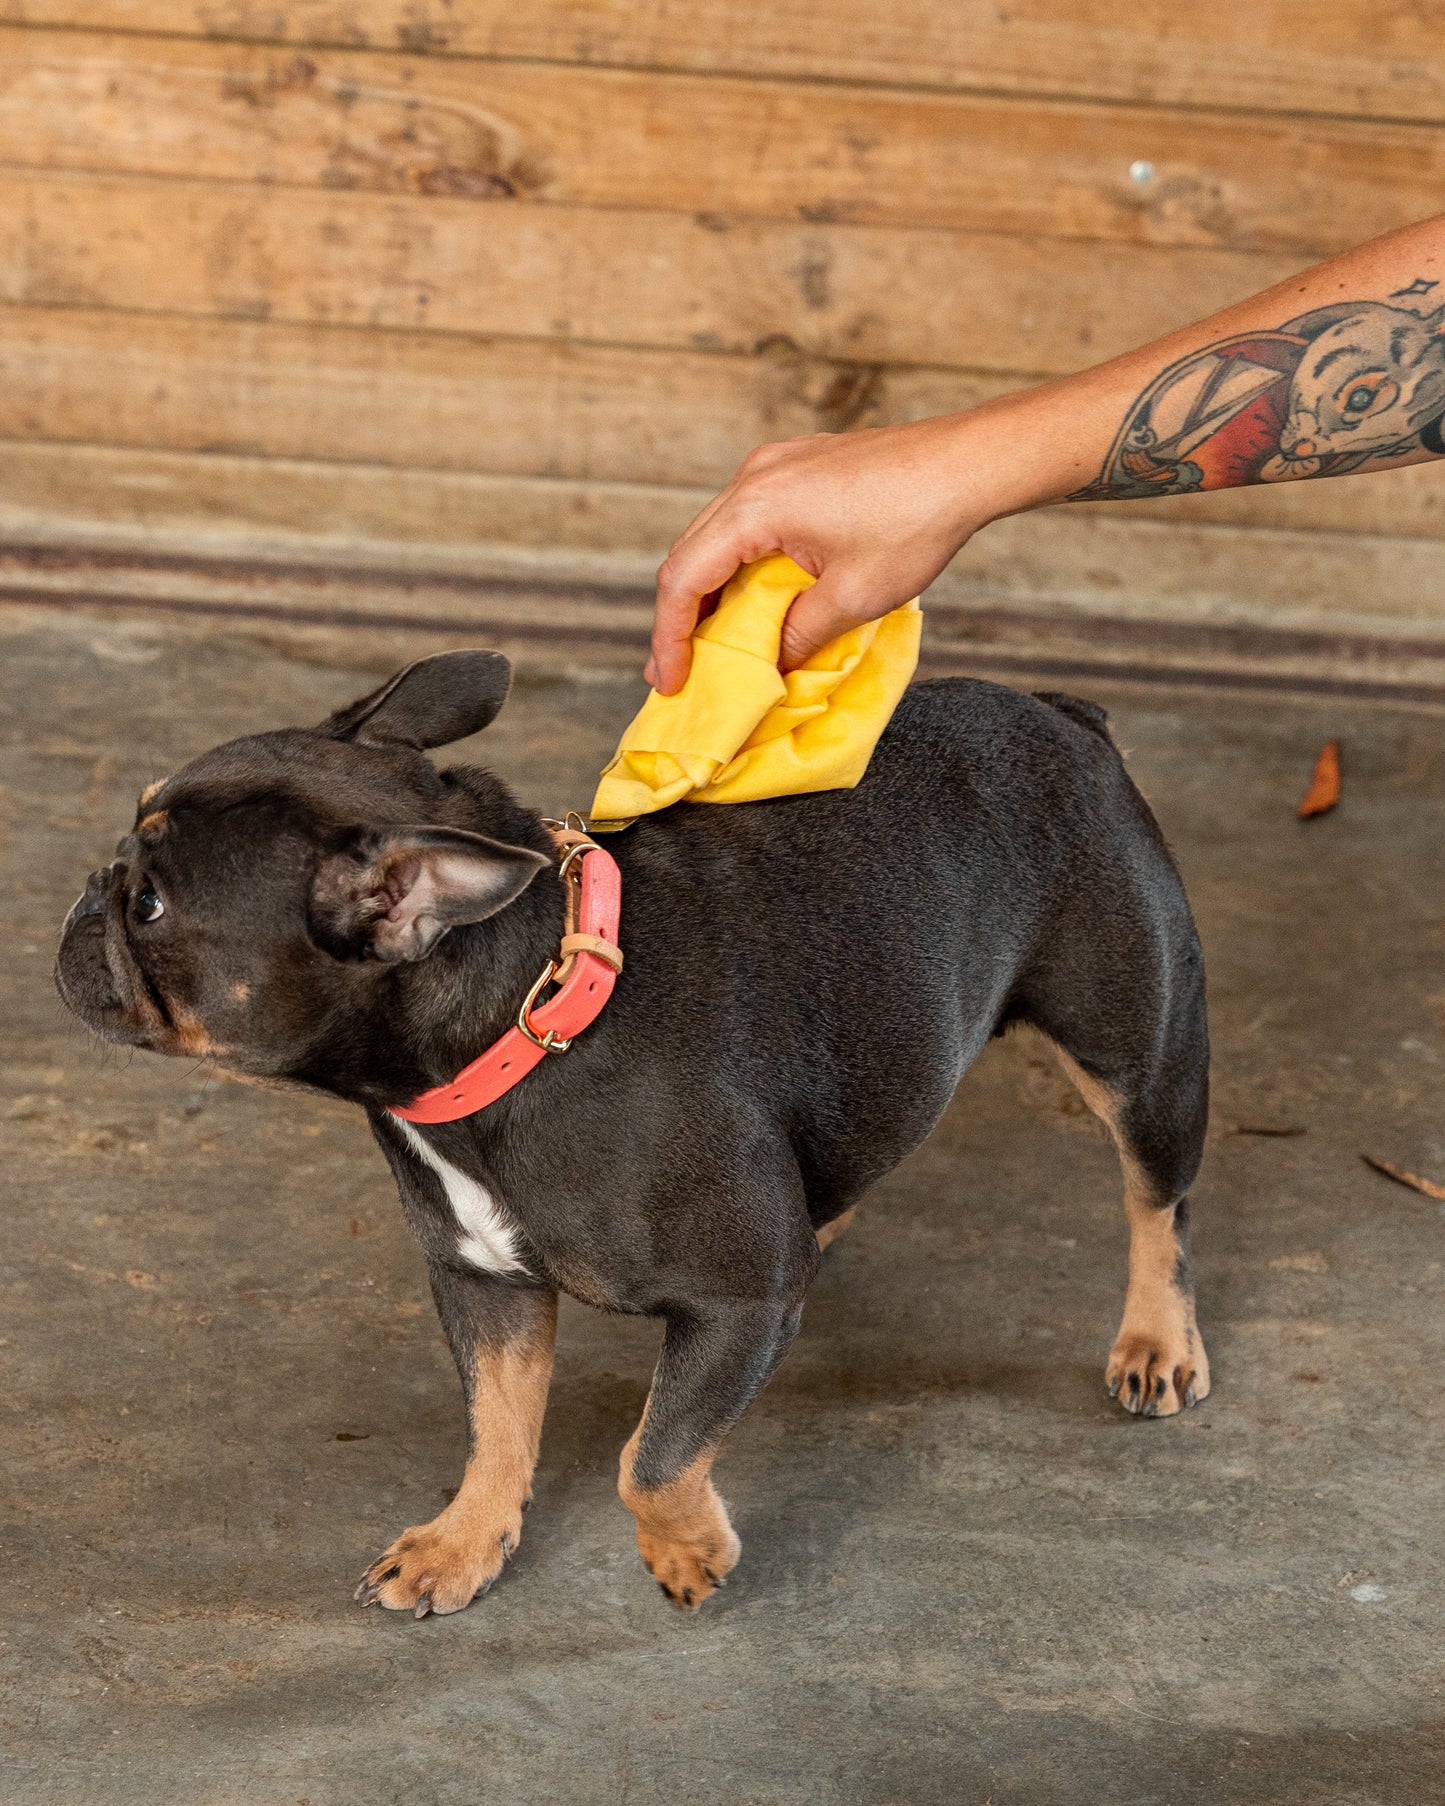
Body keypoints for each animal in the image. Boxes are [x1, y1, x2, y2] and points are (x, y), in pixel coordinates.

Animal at [56, 657, 1206, 1618]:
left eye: (150, 903)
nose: (87, 891)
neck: (526, 1013)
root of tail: (1063, 714)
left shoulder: (737, 1303)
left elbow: (646, 1459)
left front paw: (685, 1551)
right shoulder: (486, 1285)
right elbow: (497, 1425)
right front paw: (462, 1544)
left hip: (1141, 1057)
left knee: (1156, 1205)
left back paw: (1155, 1341)